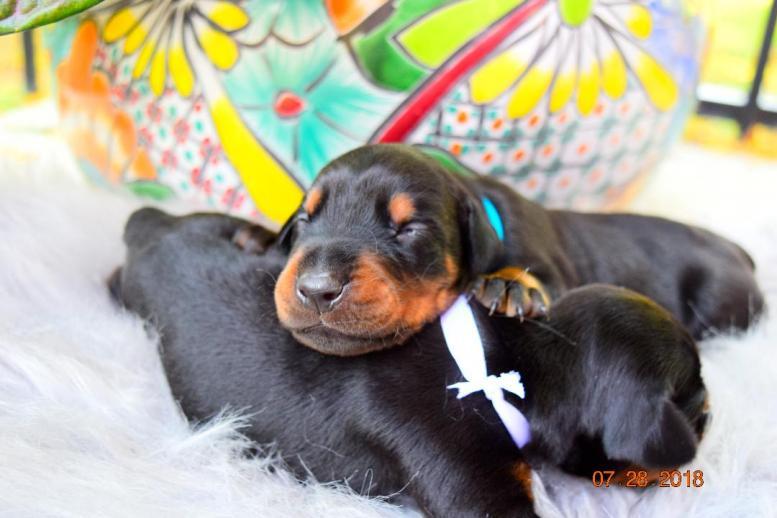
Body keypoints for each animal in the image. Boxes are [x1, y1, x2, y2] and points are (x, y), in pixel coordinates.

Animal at [250, 144, 763, 356]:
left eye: (409, 229)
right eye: (304, 219)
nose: (318, 289)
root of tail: (737, 248)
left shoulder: (558, 268)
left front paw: (509, 284)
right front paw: (254, 236)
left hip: (722, 300)